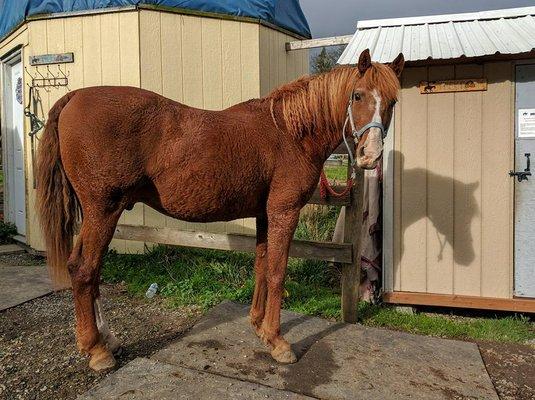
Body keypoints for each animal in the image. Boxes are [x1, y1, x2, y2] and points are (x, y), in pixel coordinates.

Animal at [35, 50, 404, 372]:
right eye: (357, 96)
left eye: (393, 101)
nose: (370, 156)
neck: (289, 132)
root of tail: (74, 97)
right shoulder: (284, 211)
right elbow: (277, 271)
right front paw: (278, 341)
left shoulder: (264, 213)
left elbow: (261, 265)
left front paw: (259, 326)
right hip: (103, 211)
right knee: (84, 270)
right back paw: (97, 351)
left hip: (97, 214)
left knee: (88, 270)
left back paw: (106, 339)